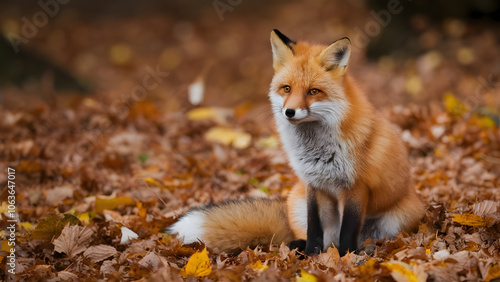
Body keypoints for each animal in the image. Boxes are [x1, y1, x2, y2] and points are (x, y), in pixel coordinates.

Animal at [166, 29, 424, 256]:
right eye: (287, 88)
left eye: (313, 91)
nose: (289, 111)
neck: (318, 151)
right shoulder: (313, 185)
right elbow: (314, 228)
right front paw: (311, 256)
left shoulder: (356, 188)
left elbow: (348, 232)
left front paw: (345, 258)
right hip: (296, 200)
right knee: (309, 237)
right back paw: (296, 248)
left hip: (396, 220)